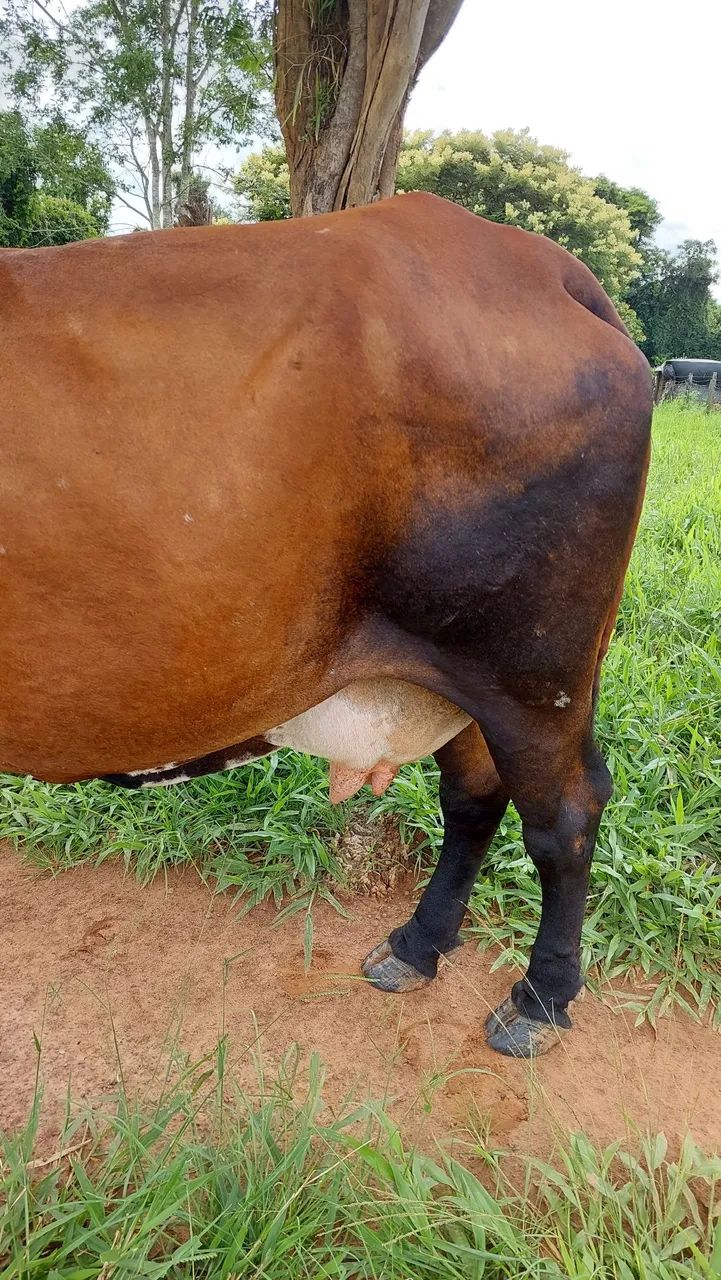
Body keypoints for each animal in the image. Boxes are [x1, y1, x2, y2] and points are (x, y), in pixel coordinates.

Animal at [0, 193, 652, 1057]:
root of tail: (541, 264)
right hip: (466, 676)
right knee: (474, 794)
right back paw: (417, 944)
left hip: (530, 669)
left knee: (564, 817)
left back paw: (540, 998)